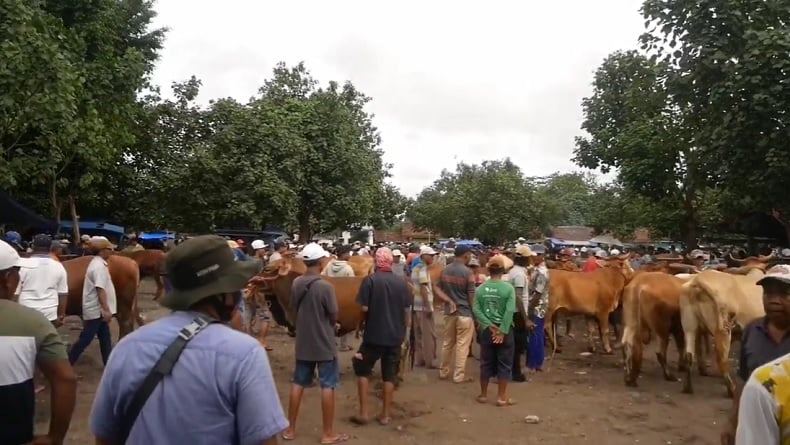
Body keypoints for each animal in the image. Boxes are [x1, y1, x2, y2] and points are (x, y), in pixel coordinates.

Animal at [680, 264, 768, 396]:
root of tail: (698, 281)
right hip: (722, 329)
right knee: (721, 359)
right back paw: (732, 389)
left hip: (690, 326)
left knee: (689, 355)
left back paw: (688, 387)